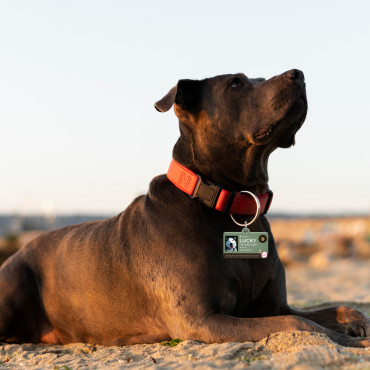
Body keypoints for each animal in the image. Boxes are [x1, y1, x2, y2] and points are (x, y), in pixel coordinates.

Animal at [0, 68, 368, 346]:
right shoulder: (202, 319)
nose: (299, 74)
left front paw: (355, 322)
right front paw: (349, 341)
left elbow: (331, 310)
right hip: (14, 283)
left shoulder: (274, 305)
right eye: (236, 83)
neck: (232, 203)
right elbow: (300, 325)